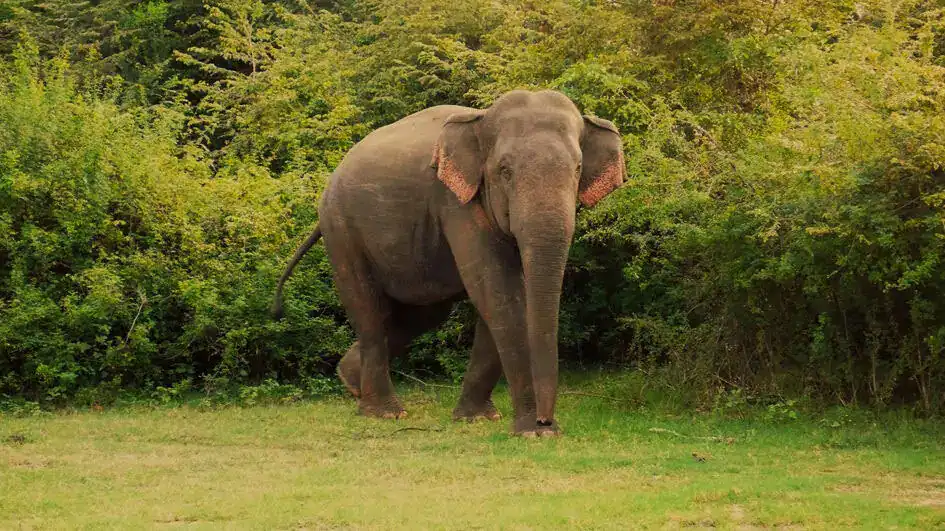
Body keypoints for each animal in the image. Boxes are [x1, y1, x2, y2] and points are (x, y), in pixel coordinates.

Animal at [273, 89, 626, 437]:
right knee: (367, 308)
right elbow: (498, 292)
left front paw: (477, 419)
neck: (481, 118)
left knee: (420, 315)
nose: (545, 421)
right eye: (505, 171)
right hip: (342, 229)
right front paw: (530, 432)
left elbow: (502, 296)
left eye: (578, 169)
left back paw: (350, 383)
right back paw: (384, 412)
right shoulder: (455, 203)